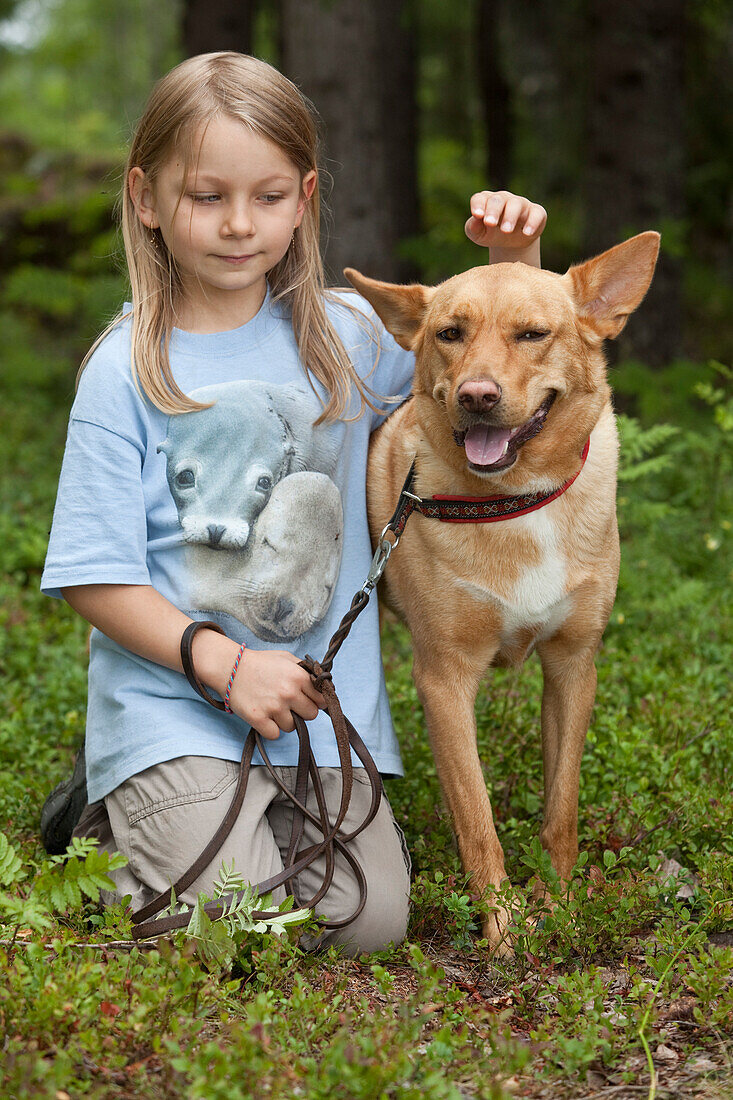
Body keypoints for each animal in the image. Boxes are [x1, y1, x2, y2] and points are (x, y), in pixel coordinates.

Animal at [345, 232, 660, 954]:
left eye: (532, 334)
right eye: (449, 333)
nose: (477, 396)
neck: (518, 500)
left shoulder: (573, 665)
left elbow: (562, 806)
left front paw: (560, 903)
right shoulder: (443, 680)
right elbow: (479, 822)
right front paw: (502, 935)